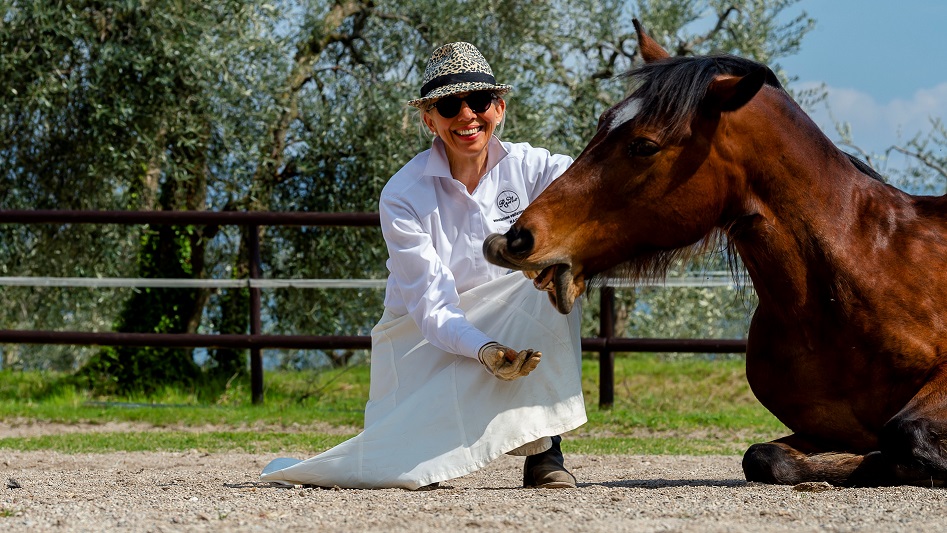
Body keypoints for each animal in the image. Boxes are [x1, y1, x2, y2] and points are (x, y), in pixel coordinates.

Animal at [483, 19, 947, 487]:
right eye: (602, 122)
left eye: (644, 146)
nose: (518, 239)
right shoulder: (818, 430)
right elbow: (762, 456)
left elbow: (904, 433)